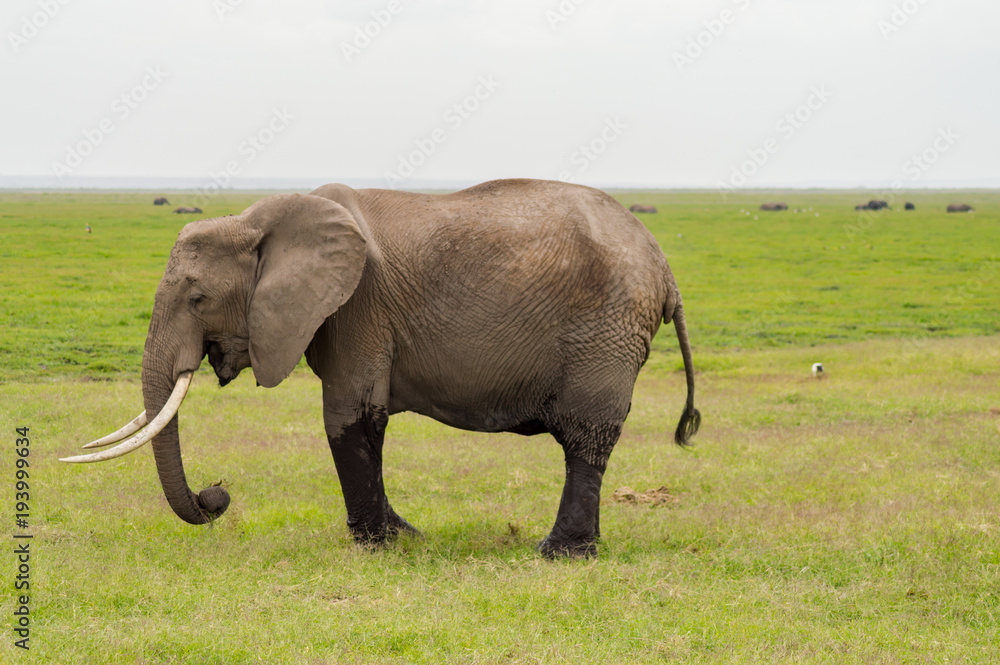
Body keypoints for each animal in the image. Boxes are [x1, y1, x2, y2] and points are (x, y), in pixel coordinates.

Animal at [64, 178, 700, 558]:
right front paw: (404, 538)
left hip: (606, 331)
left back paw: (560, 553)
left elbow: (349, 417)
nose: (216, 496)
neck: (256, 219)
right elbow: (360, 422)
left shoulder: (358, 306)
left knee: (586, 437)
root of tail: (666, 269)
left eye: (197, 299)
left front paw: (378, 545)